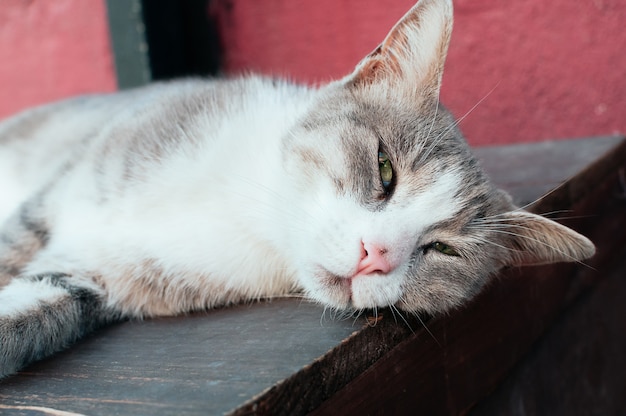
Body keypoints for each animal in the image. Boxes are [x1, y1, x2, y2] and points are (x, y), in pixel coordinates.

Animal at [0, 0, 592, 376]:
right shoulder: (54, 198)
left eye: (443, 250)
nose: (375, 255)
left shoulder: (92, 277)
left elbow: (32, 312)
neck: (249, 213)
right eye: (385, 169)